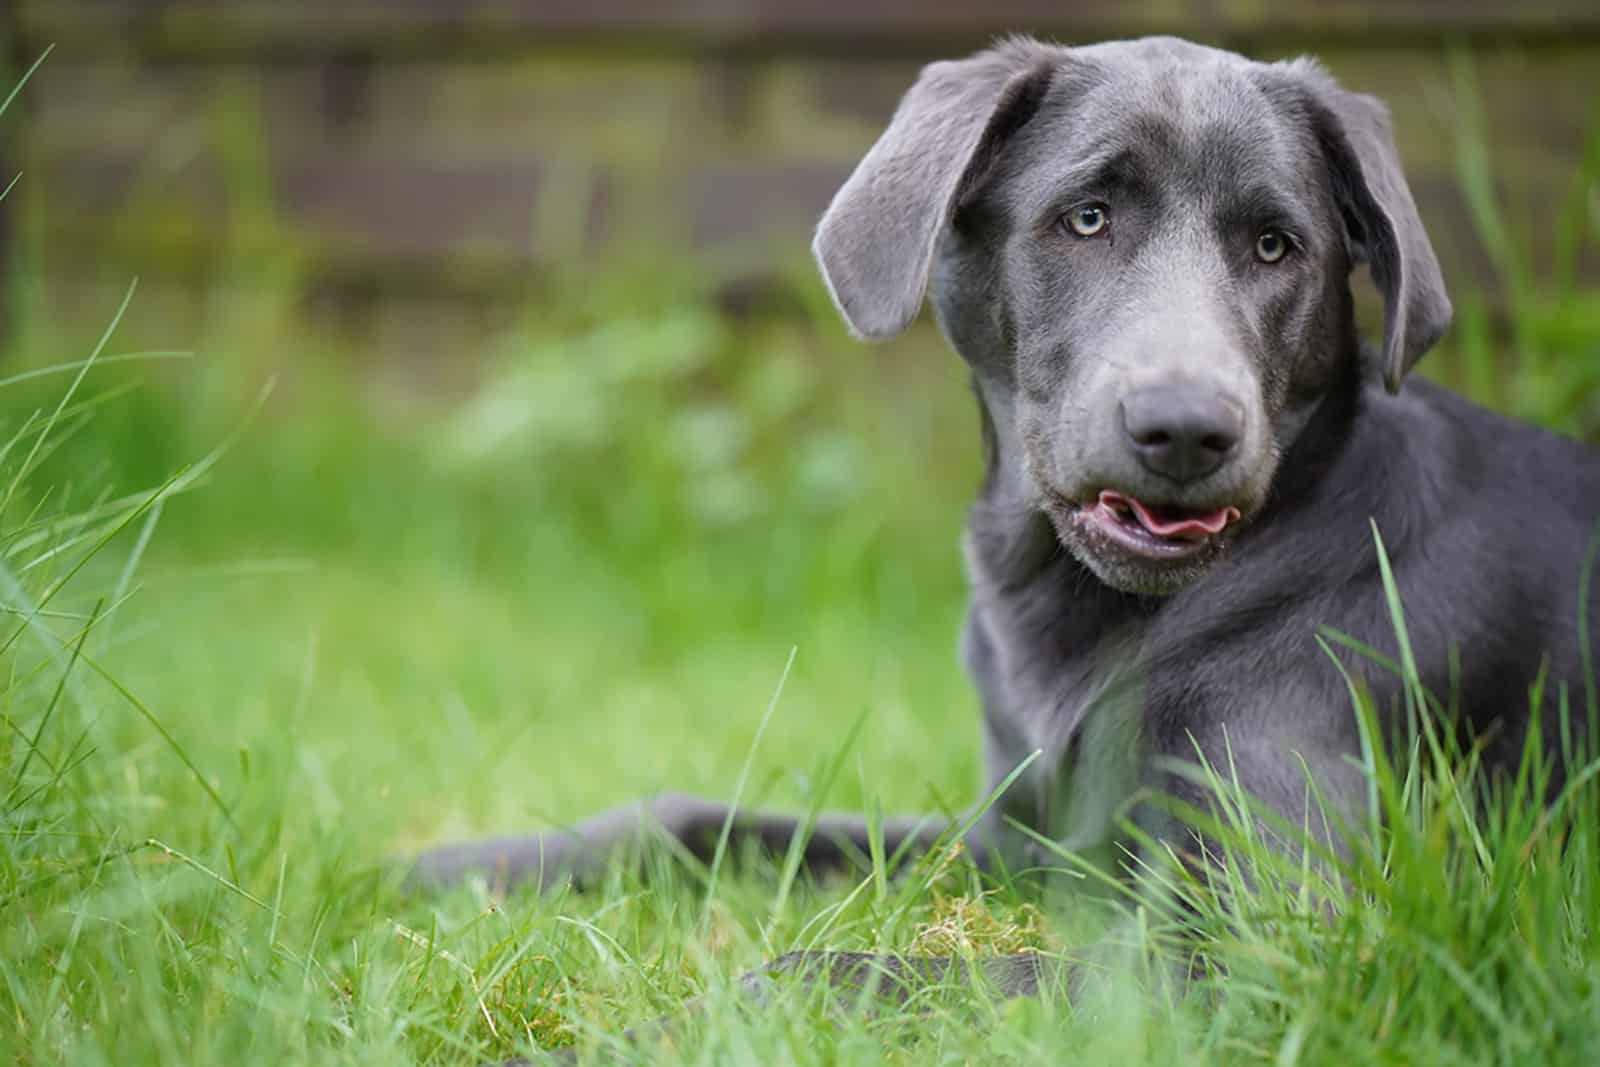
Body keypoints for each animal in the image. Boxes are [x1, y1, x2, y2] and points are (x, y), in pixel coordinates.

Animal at [412, 31, 1600, 1043]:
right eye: (1087, 218)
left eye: (1276, 246)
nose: (1185, 428)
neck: (1085, 616)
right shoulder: (1017, 841)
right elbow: (695, 819)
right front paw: (460, 864)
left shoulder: (1282, 938)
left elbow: (857, 969)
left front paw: (665, 1027)